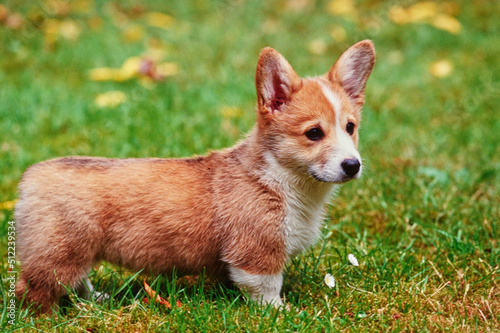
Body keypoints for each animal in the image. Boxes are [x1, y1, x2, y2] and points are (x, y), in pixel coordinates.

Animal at [15, 40, 376, 312]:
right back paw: (47, 319)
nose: (352, 165)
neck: (284, 179)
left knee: (77, 282)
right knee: (33, 289)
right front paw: (281, 312)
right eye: (314, 133)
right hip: (59, 255)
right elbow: (266, 288)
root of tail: (30, 177)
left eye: (350, 127)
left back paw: (97, 300)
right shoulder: (255, 253)